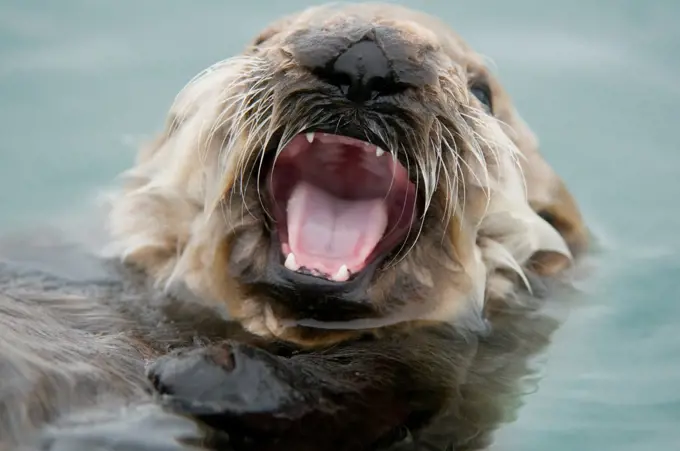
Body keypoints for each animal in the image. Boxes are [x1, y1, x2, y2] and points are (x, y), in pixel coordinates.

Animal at [0, 4, 584, 451]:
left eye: (482, 92)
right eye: (262, 41)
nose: (368, 55)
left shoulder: (460, 363)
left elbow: (379, 388)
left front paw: (214, 374)